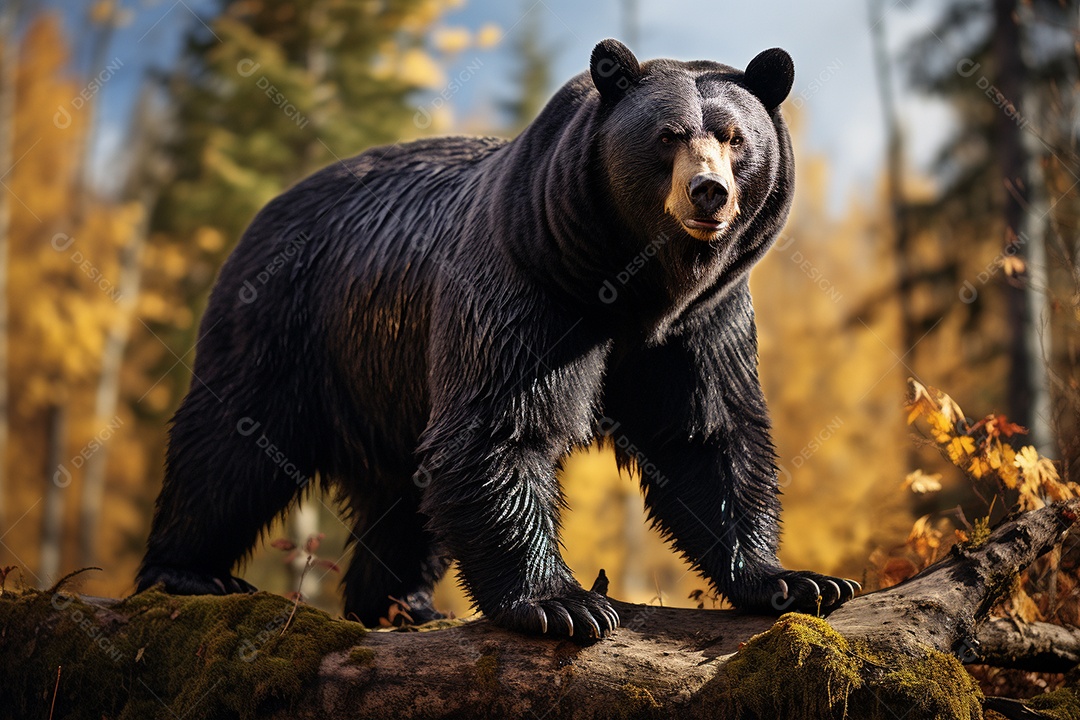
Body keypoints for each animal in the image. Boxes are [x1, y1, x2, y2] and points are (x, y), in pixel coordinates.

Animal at [136, 39, 858, 640]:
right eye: (668, 134)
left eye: (736, 137)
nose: (709, 192)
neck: (639, 283)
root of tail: (267, 211)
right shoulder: (528, 286)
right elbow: (502, 425)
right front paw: (565, 604)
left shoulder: (701, 323)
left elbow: (709, 433)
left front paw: (800, 580)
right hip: (288, 323)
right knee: (230, 446)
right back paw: (190, 571)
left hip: (383, 377)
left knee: (403, 493)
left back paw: (401, 606)